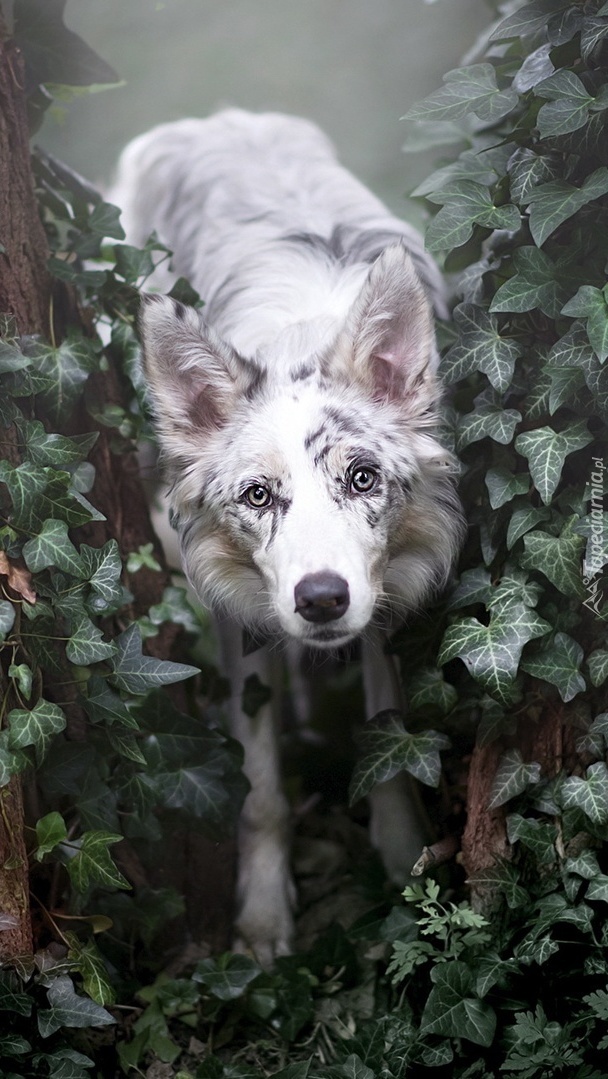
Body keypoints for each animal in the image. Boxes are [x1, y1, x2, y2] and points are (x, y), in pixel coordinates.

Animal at [110, 109, 462, 966]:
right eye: (259, 495)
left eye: (363, 479)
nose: (321, 599)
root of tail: (211, 118)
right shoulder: (239, 610)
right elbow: (260, 785)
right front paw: (263, 922)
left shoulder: (386, 593)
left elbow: (386, 738)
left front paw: (404, 861)